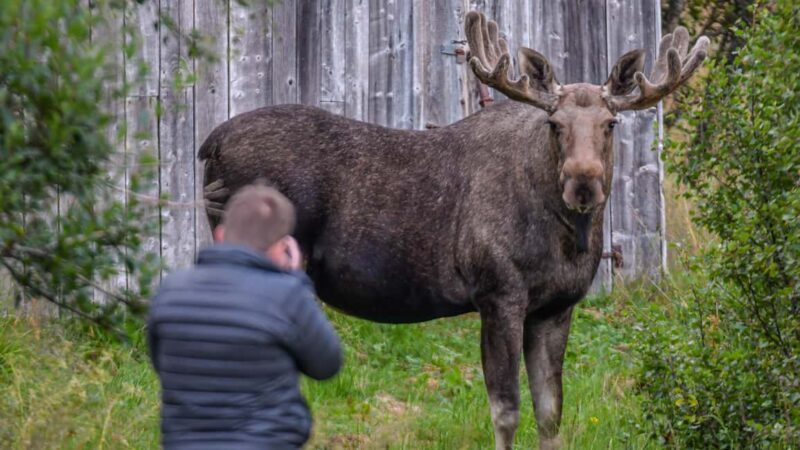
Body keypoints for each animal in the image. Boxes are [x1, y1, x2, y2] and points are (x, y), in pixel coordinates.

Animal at [197, 12, 708, 450]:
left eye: (610, 122)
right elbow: (506, 410)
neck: (568, 239)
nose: (583, 181)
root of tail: (209, 145)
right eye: (554, 123)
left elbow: (550, 413)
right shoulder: (498, 292)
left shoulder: (557, 307)